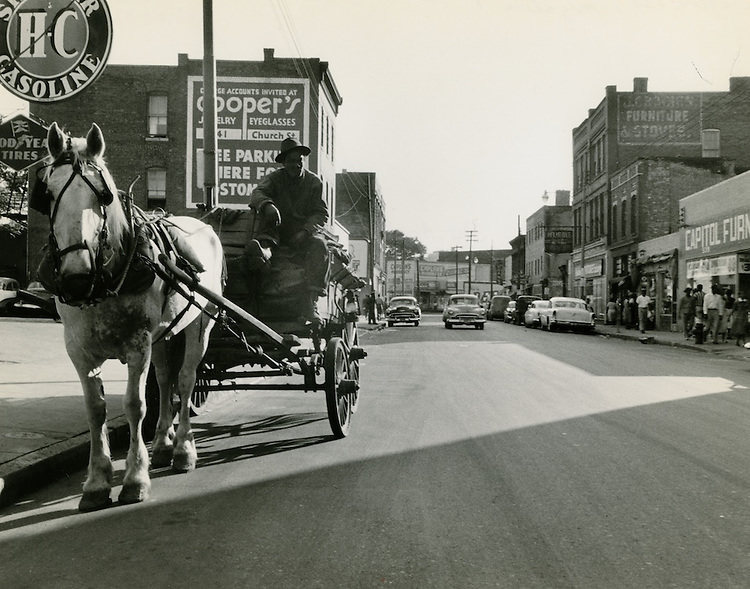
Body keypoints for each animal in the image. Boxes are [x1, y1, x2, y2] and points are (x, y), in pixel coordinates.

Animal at [32, 123, 225, 510]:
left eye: (104, 195)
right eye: (49, 193)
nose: (76, 277)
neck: (104, 282)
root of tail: (204, 225)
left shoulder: (138, 344)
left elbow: (135, 405)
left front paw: (135, 478)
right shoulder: (78, 348)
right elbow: (96, 409)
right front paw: (96, 482)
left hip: (201, 324)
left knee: (185, 380)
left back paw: (182, 449)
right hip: (165, 334)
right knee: (165, 381)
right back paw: (163, 444)